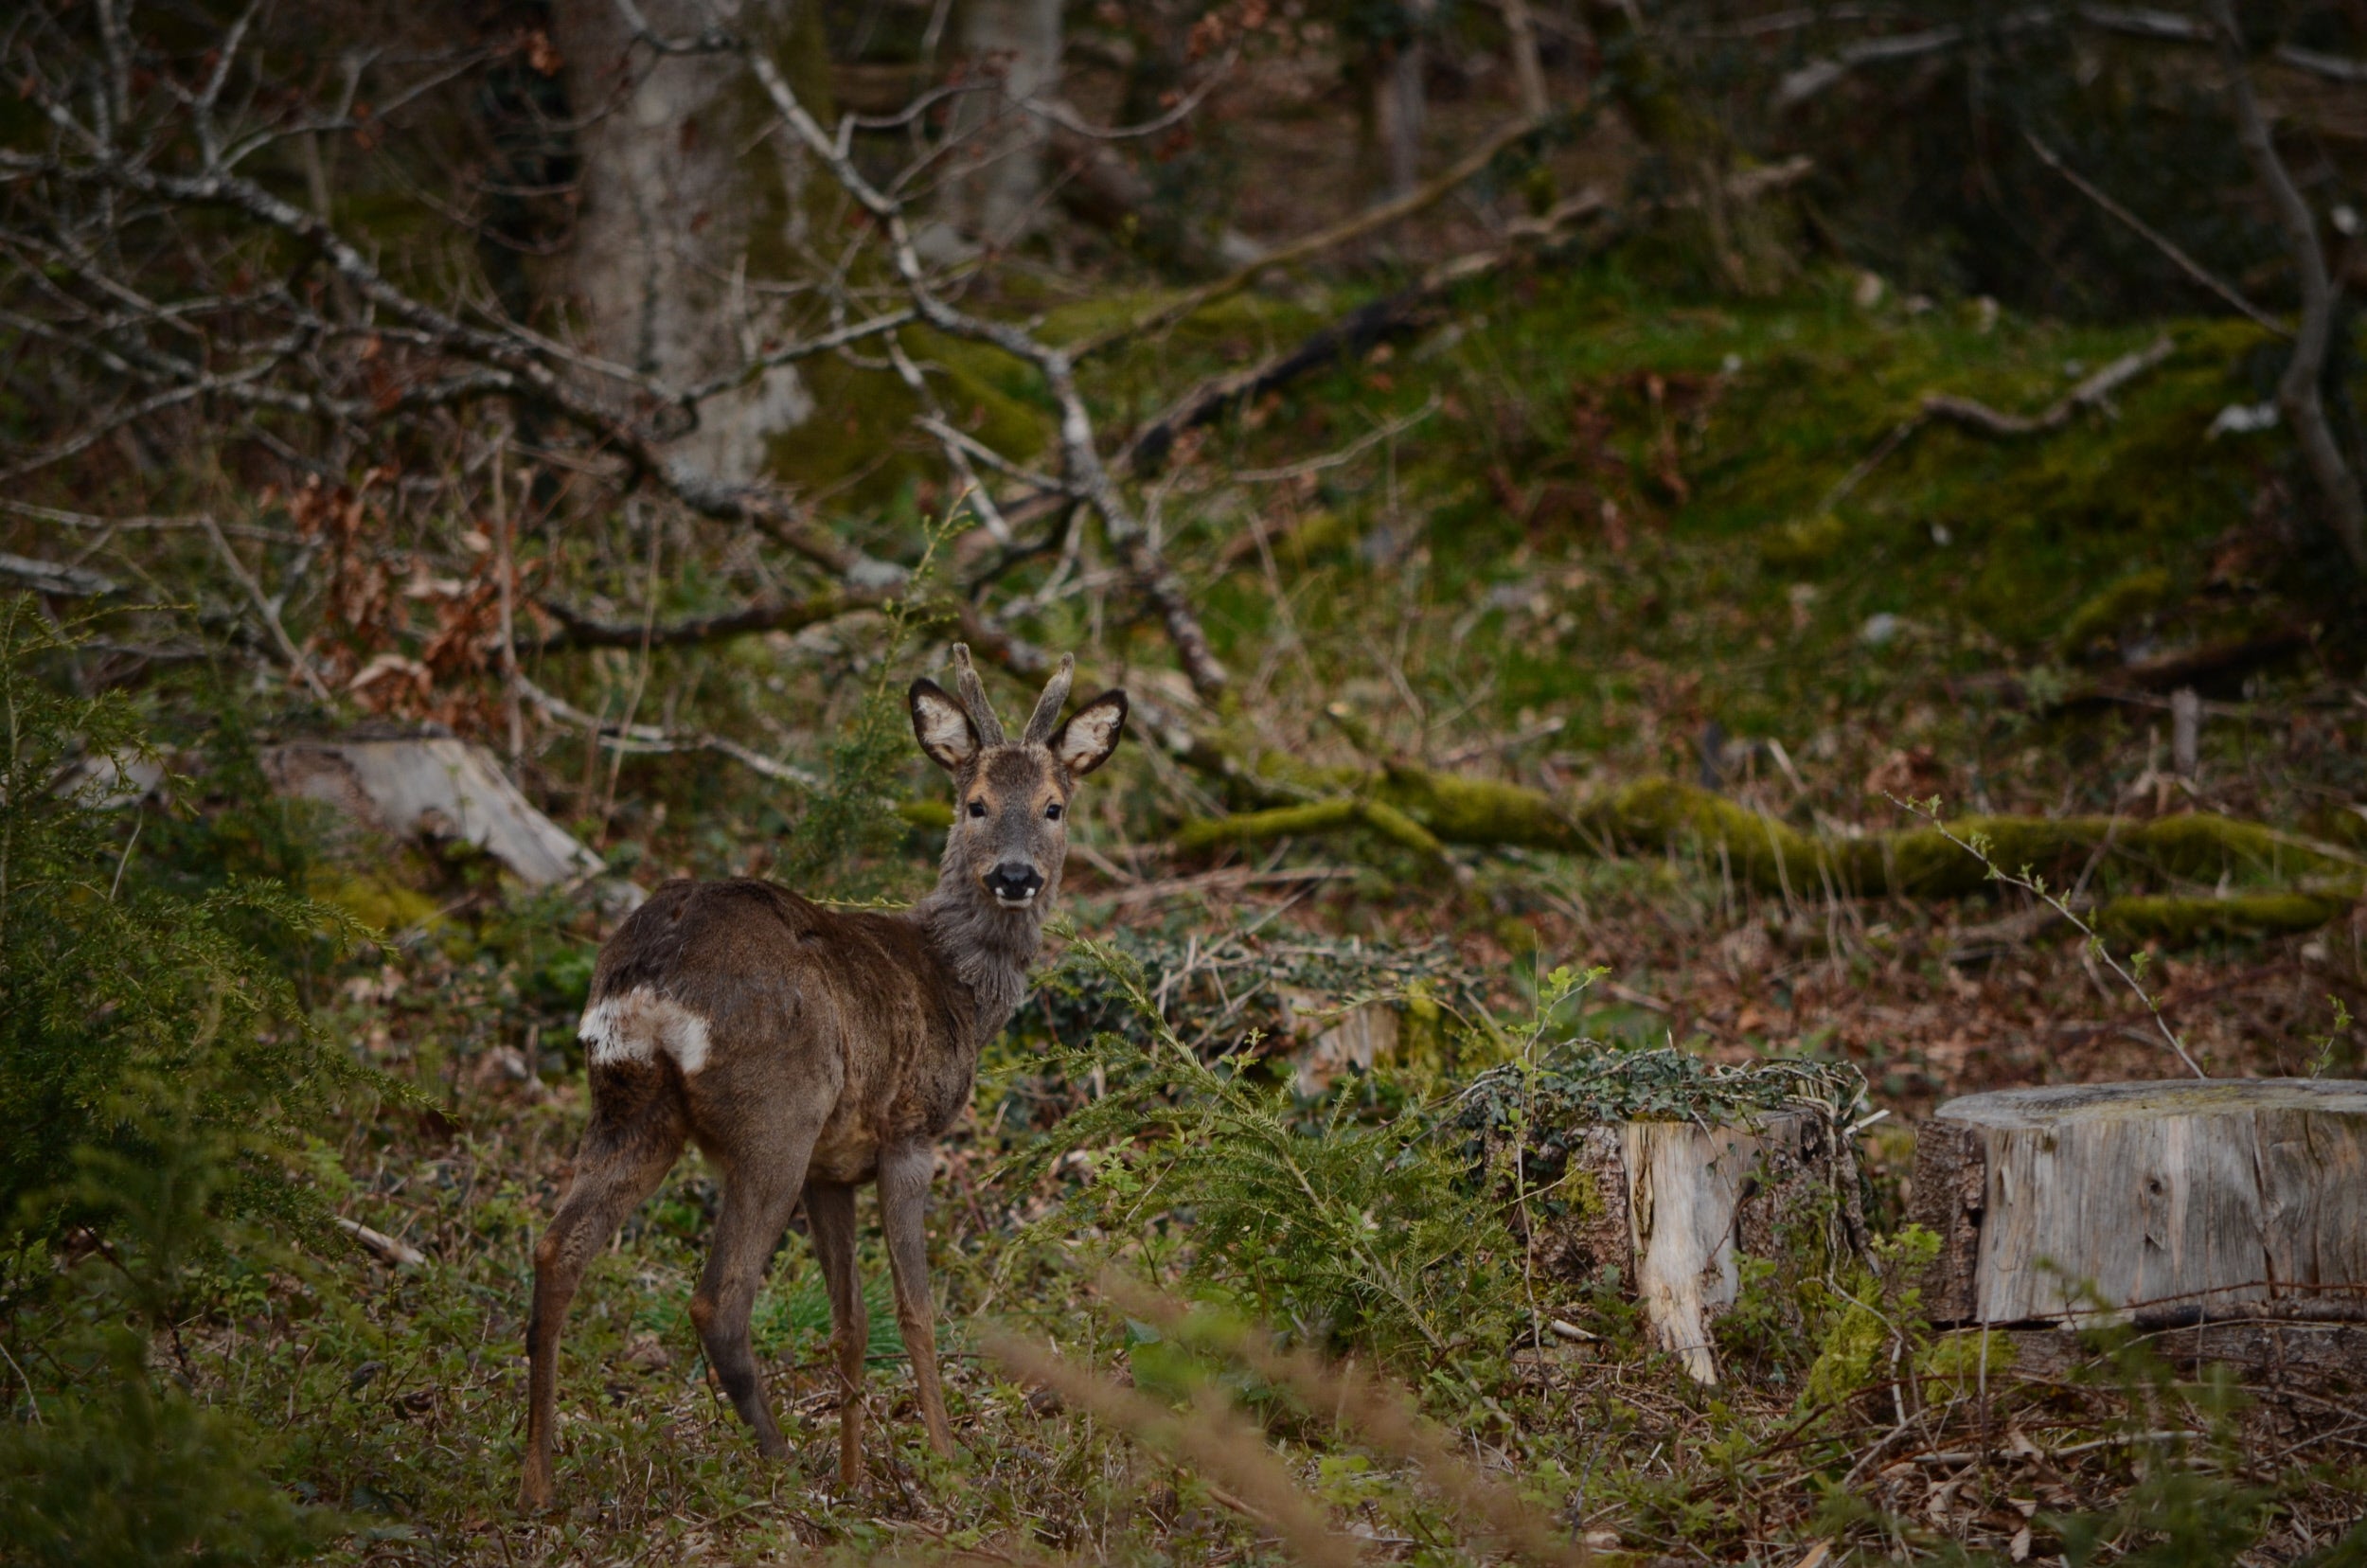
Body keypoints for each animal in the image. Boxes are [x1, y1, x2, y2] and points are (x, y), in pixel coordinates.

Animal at [518, 646, 1126, 1512]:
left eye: (1053, 807)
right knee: (719, 1297)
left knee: (556, 1249)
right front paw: (944, 1461)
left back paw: (537, 1476)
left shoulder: (832, 1171)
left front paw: (855, 1474)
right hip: (775, 1114)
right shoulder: (908, 1132)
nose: (1015, 876)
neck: (954, 987)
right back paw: (784, 1468)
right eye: (974, 804)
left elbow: (850, 1323)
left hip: (629, 1103)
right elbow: (914, 1307)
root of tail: (652, 972)